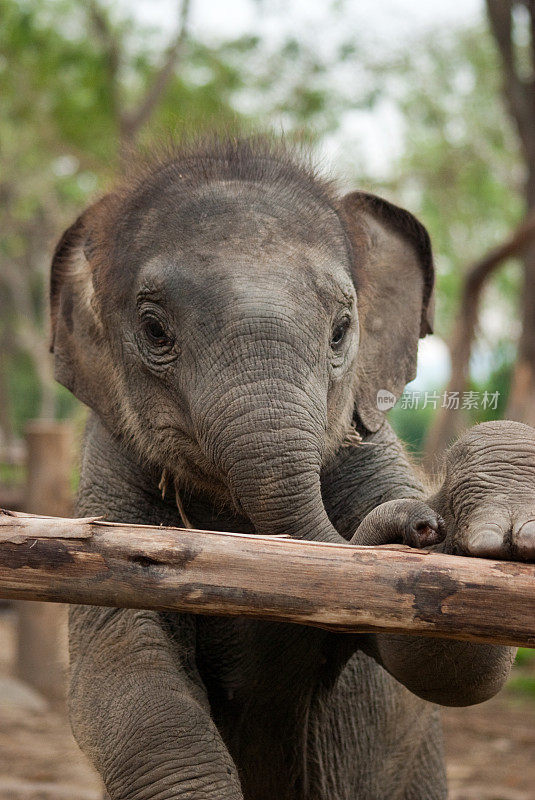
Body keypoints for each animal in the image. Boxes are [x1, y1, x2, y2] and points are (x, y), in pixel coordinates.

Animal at [49, 139, 535, 800]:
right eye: (154, 330)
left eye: (341, 331)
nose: (425, 523)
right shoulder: (109, 477)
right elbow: (124, 669)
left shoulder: (363, 448)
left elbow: (446, 647)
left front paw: (505, 529)